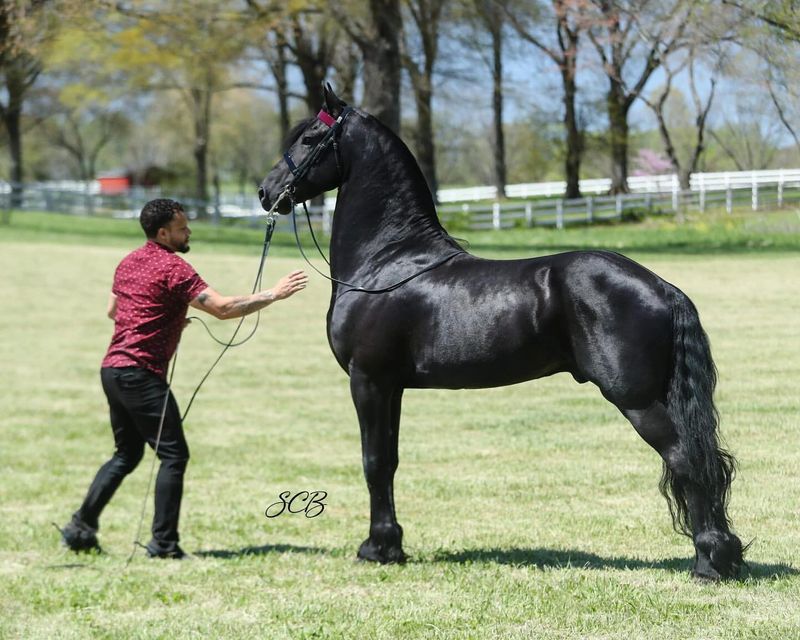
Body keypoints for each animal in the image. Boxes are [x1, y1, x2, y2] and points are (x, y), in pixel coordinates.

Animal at [260, 85, 744, 580]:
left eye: (309, 138)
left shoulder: (369, 379)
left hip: (638, 399)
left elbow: (374, 463)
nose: (266, 192)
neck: (388, 261)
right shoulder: (391, 386)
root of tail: (664, 287)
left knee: (687, 460)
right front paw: (391, 545)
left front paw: (378, 548)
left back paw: (710, 562)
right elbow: (390, 461)